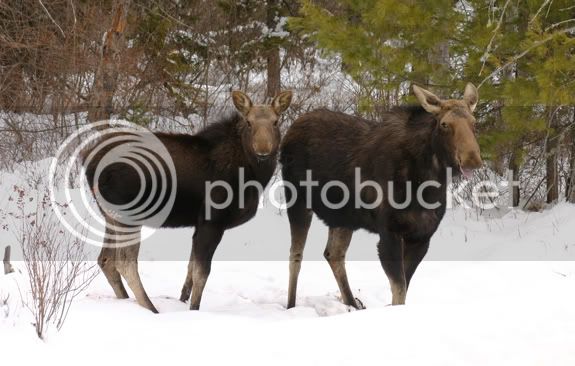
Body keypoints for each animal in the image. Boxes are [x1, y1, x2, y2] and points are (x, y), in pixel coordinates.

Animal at [85, 90, 292, 314]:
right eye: (248, 122)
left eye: (276, 121)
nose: (263, 150)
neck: (254, 176)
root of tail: (89, 164)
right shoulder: (213, 221)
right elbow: (202, 273)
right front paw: (194, 309)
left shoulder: (198, 224)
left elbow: (190, 271)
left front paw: (183, 302)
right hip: (129, 216)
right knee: (124, 262)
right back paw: (151, 308)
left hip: (111, 216)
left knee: (105, 259)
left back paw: (125, 300)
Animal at [280, 83, 482, 308]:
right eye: (445, 124)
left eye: (474, 123)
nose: (472, 159)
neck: (428, 184)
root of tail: (290, 130)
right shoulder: (389, 233)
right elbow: (399, 289)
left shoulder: (421, 237)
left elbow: (404, 286)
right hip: (298, 200)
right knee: (295, 255)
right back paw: (291, 305)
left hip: (344, 217)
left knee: (333, 253)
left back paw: (352, 304)